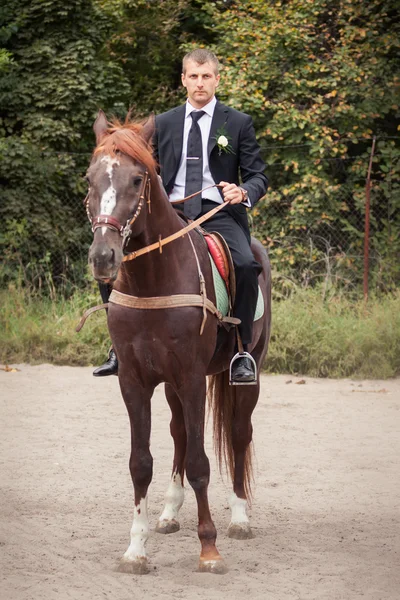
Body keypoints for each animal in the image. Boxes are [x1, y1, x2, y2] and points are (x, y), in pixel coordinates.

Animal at [85, 110, 272, 576]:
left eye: (137, 179)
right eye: (90, 178)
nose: (103, 257)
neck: (155, 278)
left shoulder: (190, 377)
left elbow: (201, 463)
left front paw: (209, 549)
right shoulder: (135, 381)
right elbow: (141, 463)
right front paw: (136, 549)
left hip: (246, 375)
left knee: (238, 434)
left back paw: (240, 518)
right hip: (169, 384)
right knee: (179, 434)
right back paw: (170, 512)